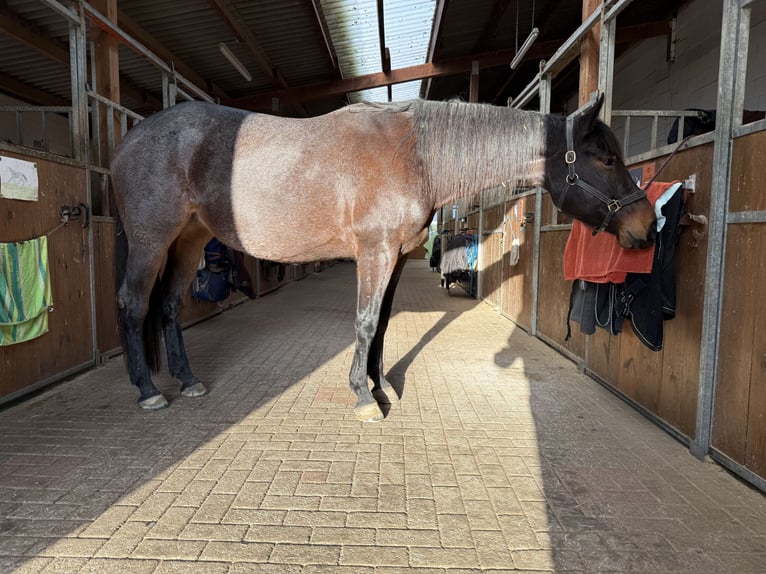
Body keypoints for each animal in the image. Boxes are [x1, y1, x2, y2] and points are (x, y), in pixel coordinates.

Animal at [111, 94, 657, 422]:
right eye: (606, 158)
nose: (647, 228)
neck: (416, 157)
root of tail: (128, 139)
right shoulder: (374, 252)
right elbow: (366, 321)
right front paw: (361, 397)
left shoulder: (393, 255)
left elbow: (383, 324)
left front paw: (379, 387)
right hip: (150, 242)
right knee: (134, 305)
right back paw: (148, 391)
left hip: (189, 241)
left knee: (168, 307)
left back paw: (187, 380)